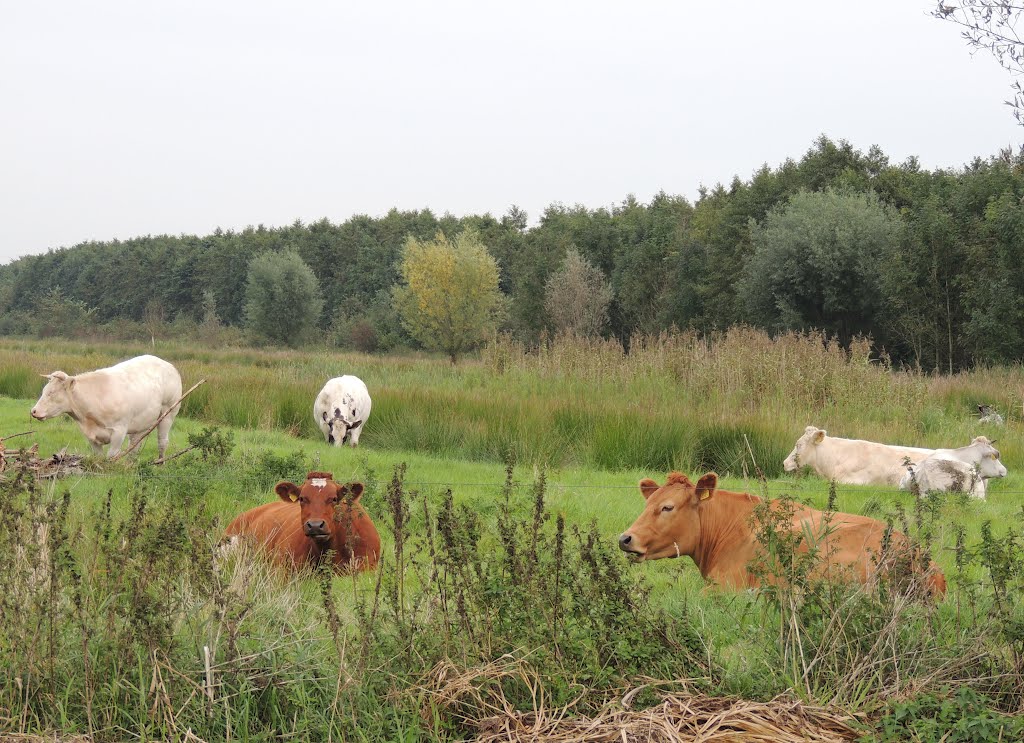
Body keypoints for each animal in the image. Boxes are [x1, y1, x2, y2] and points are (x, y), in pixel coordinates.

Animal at [29, 354, 182, 460]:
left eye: (52, 393)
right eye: (44, 390)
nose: (34, 411)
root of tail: (170, 366)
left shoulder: (119, 431)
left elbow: (111, 457)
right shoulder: (91, 436)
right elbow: (99, 458)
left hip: (168, 413)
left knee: (162, 442)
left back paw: (160, 463)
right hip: (140, 422)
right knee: (134, 446)